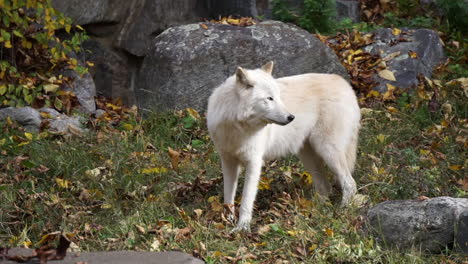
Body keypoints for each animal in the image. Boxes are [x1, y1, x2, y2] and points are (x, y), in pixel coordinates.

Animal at [207, 62, 360, 231]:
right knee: (325, 188)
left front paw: (242, 228)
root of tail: (344, 83)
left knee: (350, 184)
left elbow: (246, 200)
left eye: (279, 97)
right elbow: (228, 197)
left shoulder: (254, 162)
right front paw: (226, 221)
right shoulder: (228, 162)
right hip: (308, 157)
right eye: (269, 98)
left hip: (327, 150)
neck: (238, 127)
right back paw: (315, 211)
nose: (291, 117)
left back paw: (342, 211)